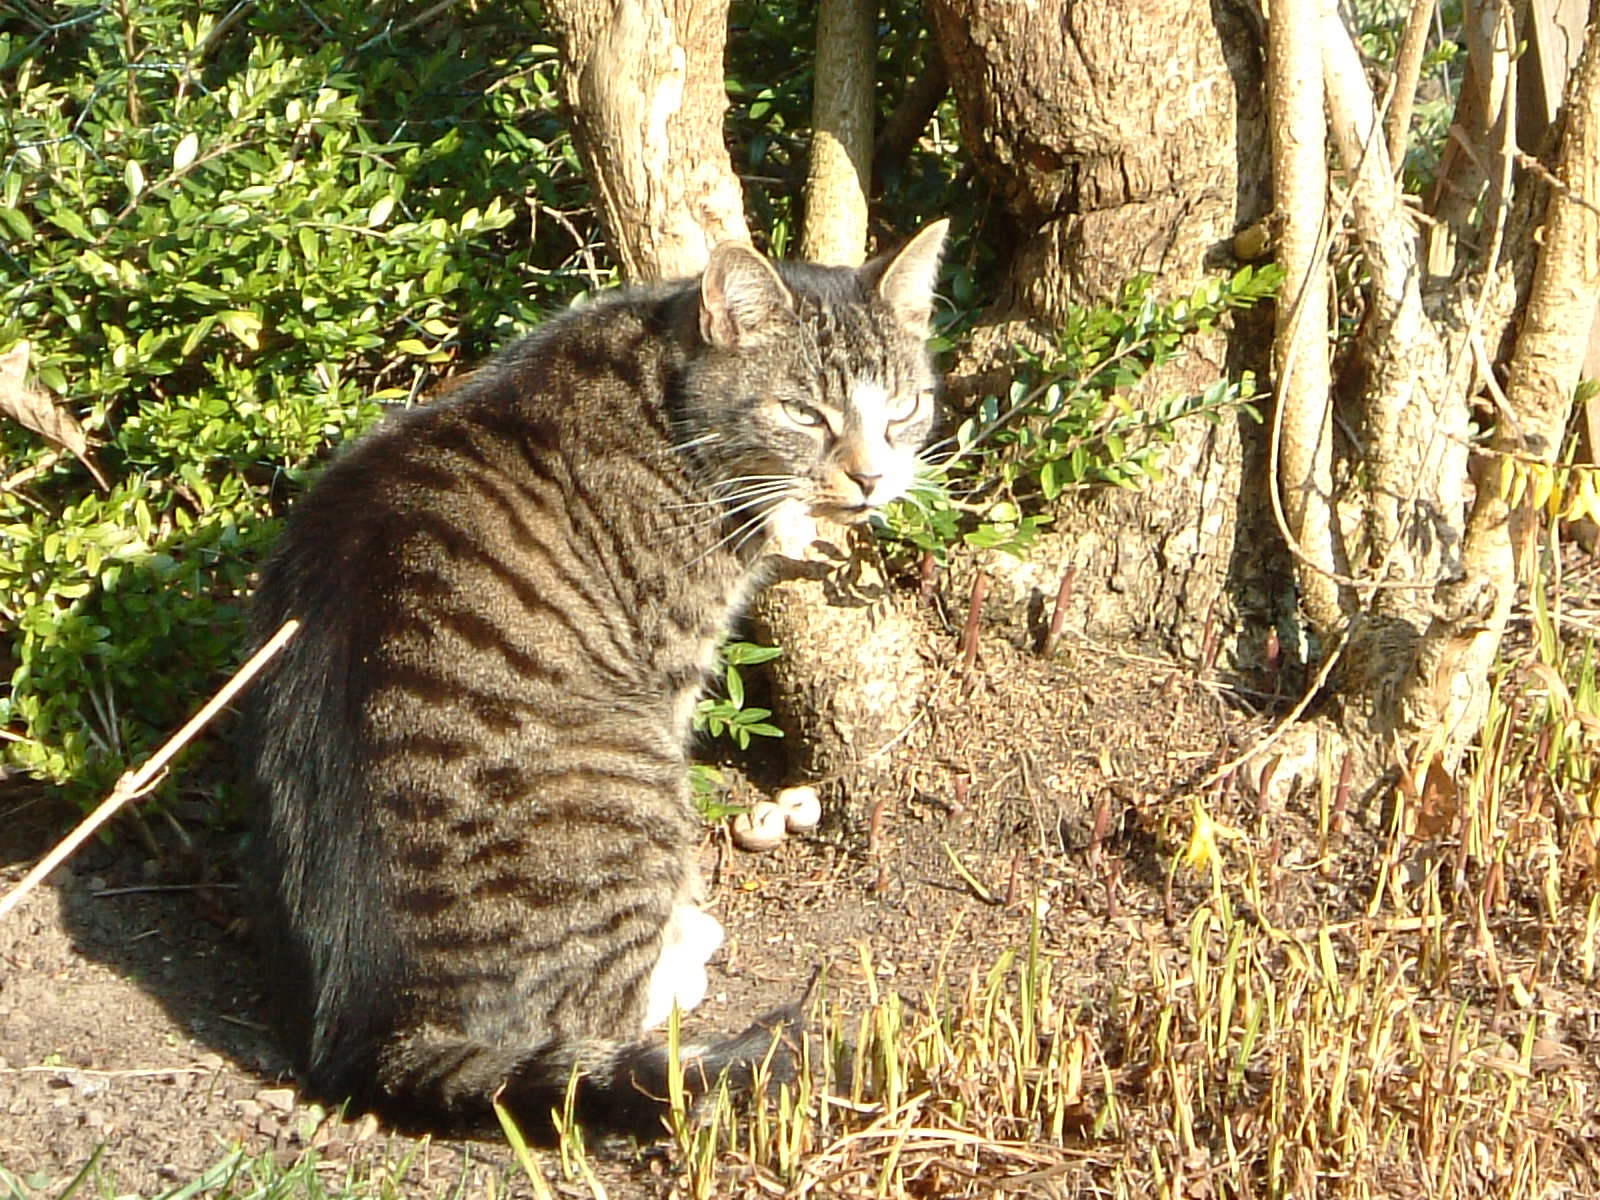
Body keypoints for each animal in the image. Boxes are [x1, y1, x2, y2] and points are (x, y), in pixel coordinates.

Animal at [240, 224, 947, 1139]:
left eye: (902, 409)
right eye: (802, 413)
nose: (871, 477)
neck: (665, 399)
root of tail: (381, 1034)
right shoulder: (672, 666)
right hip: (635, 778)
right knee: (598, 1018)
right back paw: (674, 965)